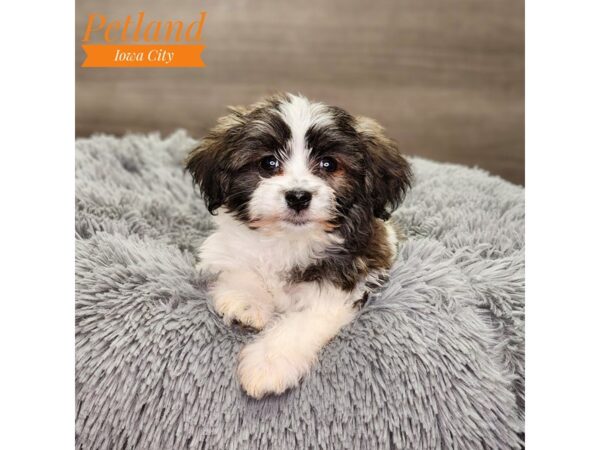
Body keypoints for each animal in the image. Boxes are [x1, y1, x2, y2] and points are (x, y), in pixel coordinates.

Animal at [186, 93, 412, 398]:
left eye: (329, 164)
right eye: (268, 163)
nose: (298, 196)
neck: (289, 239)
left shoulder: (346, 280)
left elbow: (302, 322)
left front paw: (268, 363)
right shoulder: (226, 247)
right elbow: (241, 264)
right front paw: (246, 301)